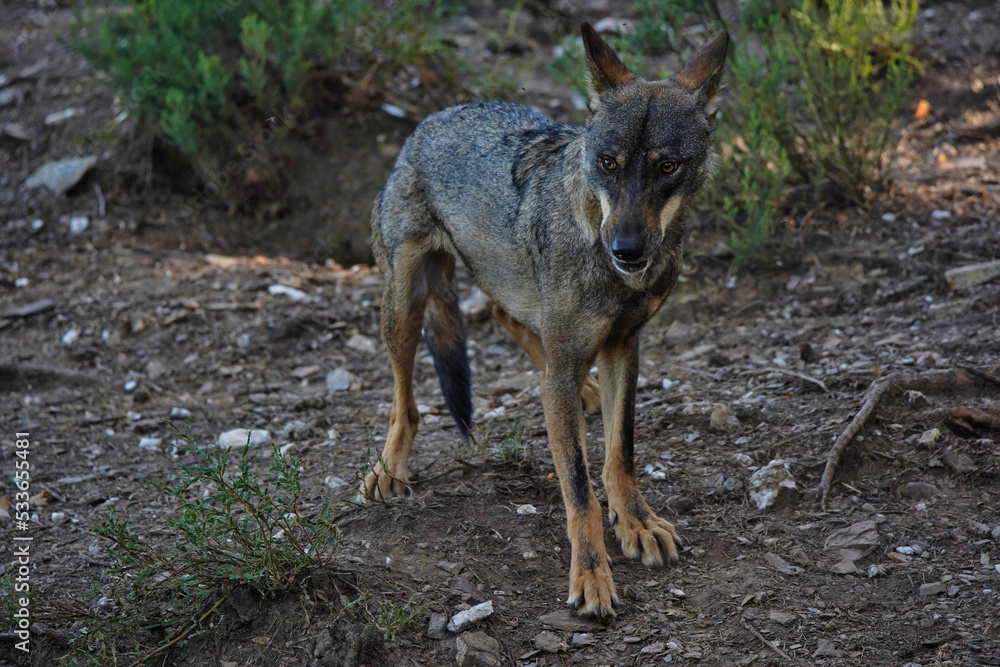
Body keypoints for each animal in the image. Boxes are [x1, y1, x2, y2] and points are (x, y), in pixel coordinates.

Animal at [360, 24, 728, 620]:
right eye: (608, 163)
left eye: (667, 166)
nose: (626, 250)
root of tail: (428, 122)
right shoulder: (571, 364)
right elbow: (578, 489)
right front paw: (593, 576)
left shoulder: (625, 346)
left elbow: (620, 454)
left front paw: (637, 523)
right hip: (403, 309)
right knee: (406, 401)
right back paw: (390, 469)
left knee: (501, 317)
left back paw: (586, 391)